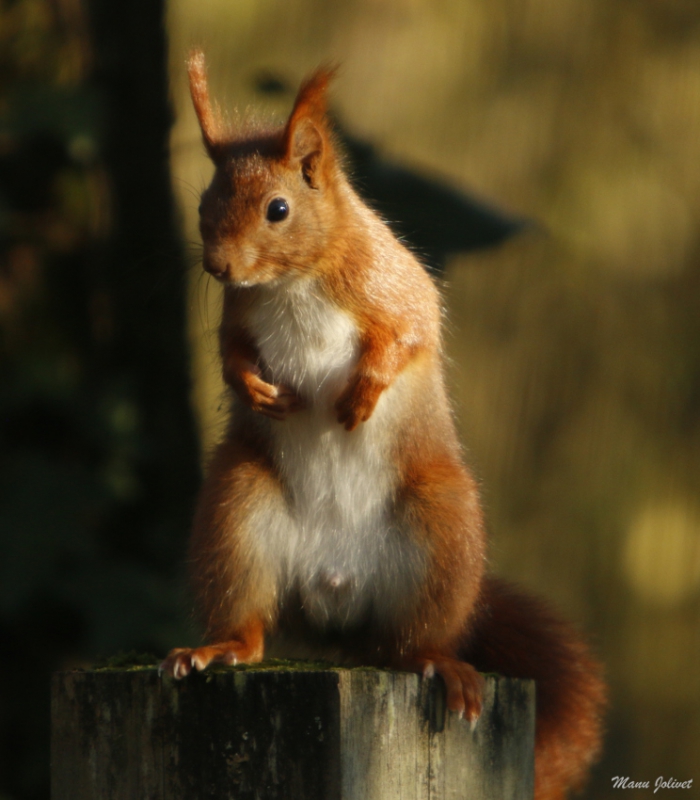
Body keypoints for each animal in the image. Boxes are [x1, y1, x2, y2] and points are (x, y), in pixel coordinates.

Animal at [161, 53, 604, 796]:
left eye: (278, 209)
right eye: (201, 206)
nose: (218, 265)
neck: (290, 281)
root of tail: (335, 606)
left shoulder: (392, 286)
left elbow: (409, 334)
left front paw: (361, 397)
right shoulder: (236, 317)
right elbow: (230, 356)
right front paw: (255, 388)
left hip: (441, 528)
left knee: (410, 646)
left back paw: (444, 665)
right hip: (237, 510)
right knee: (252, 624)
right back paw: (220, 647)